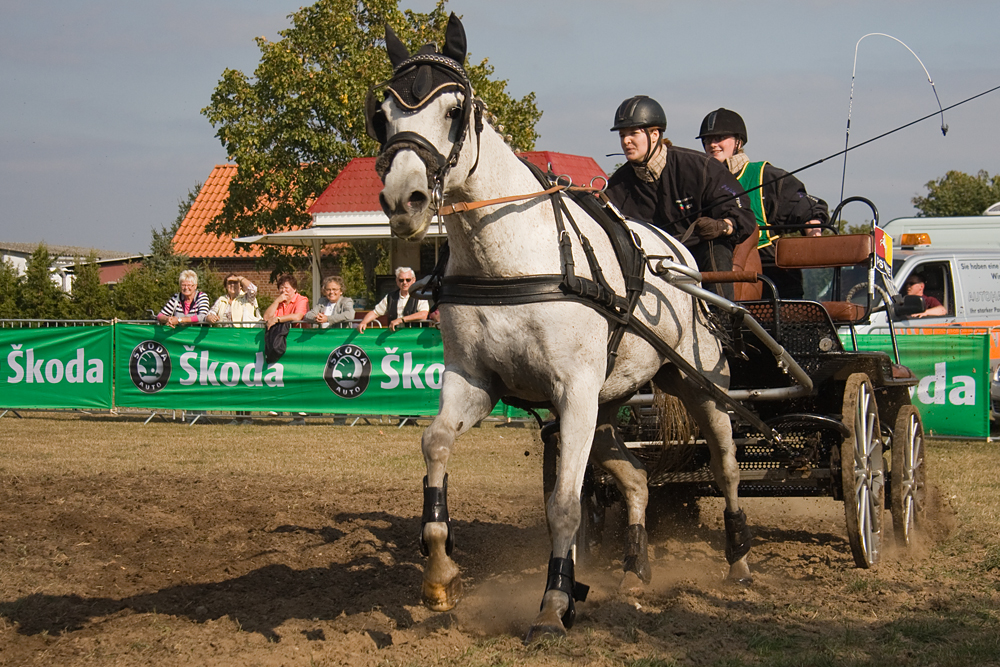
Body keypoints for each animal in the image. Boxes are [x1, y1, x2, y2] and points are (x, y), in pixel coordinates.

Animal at [368, 14, 752, 640]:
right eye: (383, 115)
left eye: (454, 110)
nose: (405, 200)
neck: (511, 259)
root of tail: (677, 254)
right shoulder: (477, 383)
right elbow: (436, 443)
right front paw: (441, 574)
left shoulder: (571, 393)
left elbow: (565, 506)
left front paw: (553, 603)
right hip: (609, 404)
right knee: (637, 476)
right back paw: (634, 570)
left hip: (700, 386)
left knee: (726, 468)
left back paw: (739, 561)